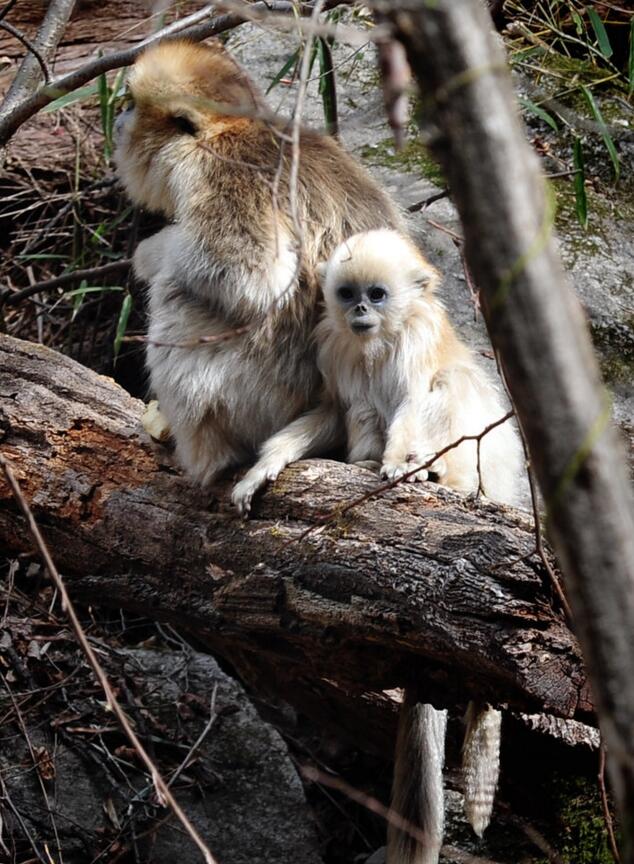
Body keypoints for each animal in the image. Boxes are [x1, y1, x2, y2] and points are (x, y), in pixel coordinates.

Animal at [230, 226, 520, 516]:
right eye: (347, 294)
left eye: (376, 294)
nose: (360, 308)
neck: (380, 340)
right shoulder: (333, 349)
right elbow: (335, 411)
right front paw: (264, 467)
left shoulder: (417, 336)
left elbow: (411, 400)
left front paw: (399, 463)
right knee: (363, 405)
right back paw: (368, 462)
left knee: (454, 378)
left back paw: (439, 473)